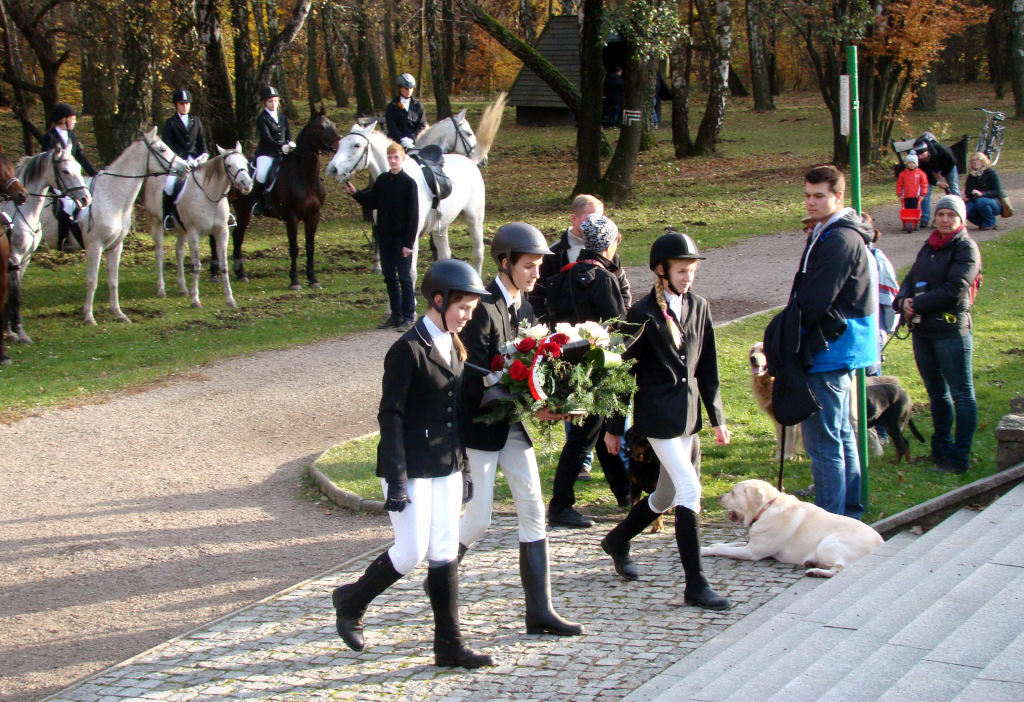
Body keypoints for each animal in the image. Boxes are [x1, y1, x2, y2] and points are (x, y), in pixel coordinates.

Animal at [3, 147, 91, 345]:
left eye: (78, 167)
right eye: (65, 171)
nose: (85, 198)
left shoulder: (24, 259)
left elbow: (12, 295)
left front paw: (13, 331)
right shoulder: (13, 257)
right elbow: (14, 295)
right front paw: (16, 332)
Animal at [37, 127, 187, 325]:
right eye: (163, 149)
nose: (186, 167)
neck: (111, 195)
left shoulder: (115, 246)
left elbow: (113, 280)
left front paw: (119, 314)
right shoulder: (95, 247)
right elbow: (92, 281)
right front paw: (89, 317)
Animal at [142, 143, 251, 306]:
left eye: (245, 162)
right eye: (229, 165)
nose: (247, 184)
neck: (210, 196)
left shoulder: (221, 232)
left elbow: (223, 265)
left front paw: (230, 299)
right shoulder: (194, 234)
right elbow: (196, 266)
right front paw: (195, 300)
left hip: (182, 229)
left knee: (179, 251)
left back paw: (182, 288)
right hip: (157, 223)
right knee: (159, 253)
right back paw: (161, 290)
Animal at [226, 107, 342, 288]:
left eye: (333, 124)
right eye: (319, 127)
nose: (339, 146)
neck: (304, 176)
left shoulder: (313, 216)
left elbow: (310, 247)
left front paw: (313, 279)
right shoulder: (291, 217)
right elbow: (294, 248)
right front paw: (294, 281)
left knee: (237, 236)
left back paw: (239, 274)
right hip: (243, 209)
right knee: (237, 236)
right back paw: (239, 274)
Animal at [327, 122, 487, 276]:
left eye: (357, 145)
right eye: (340, 143)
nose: (332, 170)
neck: (395, 178)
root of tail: (471, 162)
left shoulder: (411, 239)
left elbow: (411, 273)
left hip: (474, 218)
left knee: (478, 253)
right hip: (441, 226)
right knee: (445, 255)